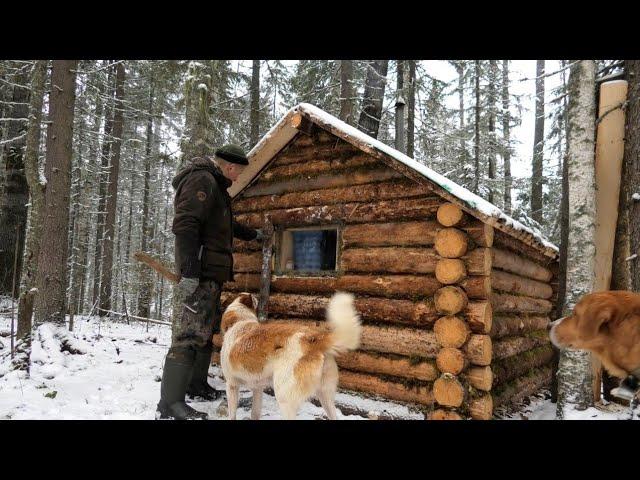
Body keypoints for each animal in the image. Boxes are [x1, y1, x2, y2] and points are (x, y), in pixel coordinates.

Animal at [219, 290, 360, 418]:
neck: (239, 322)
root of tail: (312, 338)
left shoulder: (231, 385)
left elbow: (232, 415)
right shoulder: (258, 388)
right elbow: (255, 413)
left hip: (284, 398)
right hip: (325, 397)